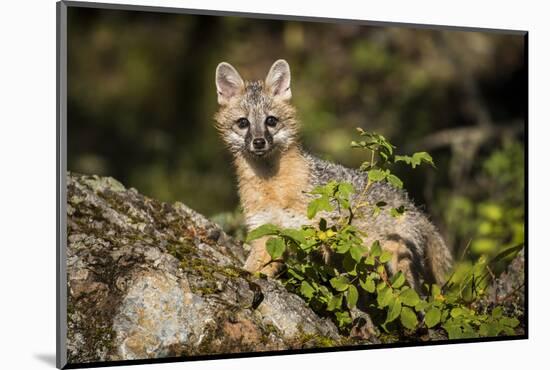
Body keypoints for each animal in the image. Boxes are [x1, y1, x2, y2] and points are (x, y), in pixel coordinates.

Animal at [215, 58, 452, 290]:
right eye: (243, 123)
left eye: (271, 121)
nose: (259, 142)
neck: (273, 188)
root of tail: (413, 205)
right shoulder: (266, 231)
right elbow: (254, 267)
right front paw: (242, 275)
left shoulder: (318, 229)